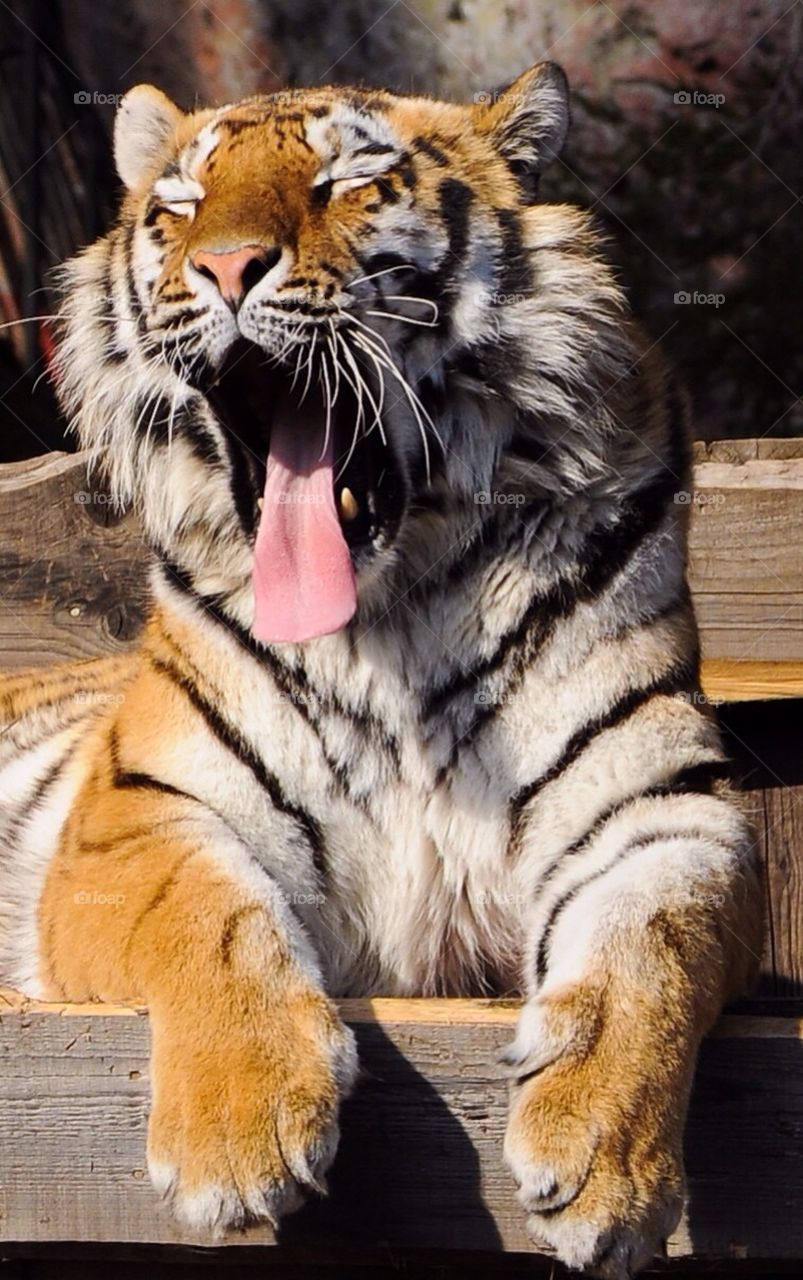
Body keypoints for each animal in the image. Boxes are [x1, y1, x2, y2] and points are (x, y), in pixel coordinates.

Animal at [0, 64, 760, 1277]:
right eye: (177, 207)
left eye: (344, 183)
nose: (223, 266)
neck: (392, 611)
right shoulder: (138, 812)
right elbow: (207, 915)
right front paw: (238, 1129)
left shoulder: (662, 805)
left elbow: (649, 941)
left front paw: (603, 1159)